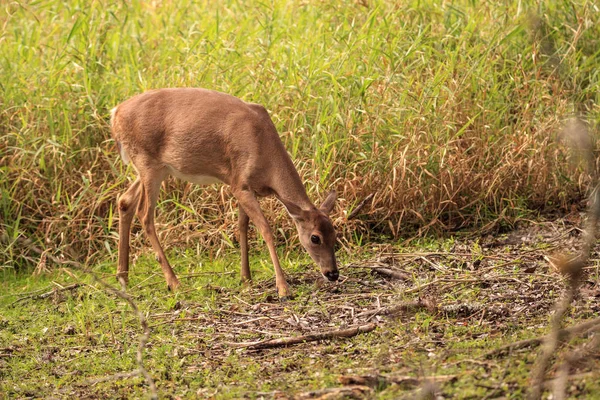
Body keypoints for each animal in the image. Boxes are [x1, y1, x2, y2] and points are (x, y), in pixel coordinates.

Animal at [110, 88, 340, 300]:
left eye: (334, 233)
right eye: (315, 238)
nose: (333, 273)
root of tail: (115, 113)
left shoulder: (241, 186)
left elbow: (242, 226)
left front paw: (246, 278)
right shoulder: (240, 185)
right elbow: (265, 229)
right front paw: (283, 289)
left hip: (157, 169)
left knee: (124, 201)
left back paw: (123, 277)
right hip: (148, 163)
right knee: (144, 214)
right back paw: (173, 282)